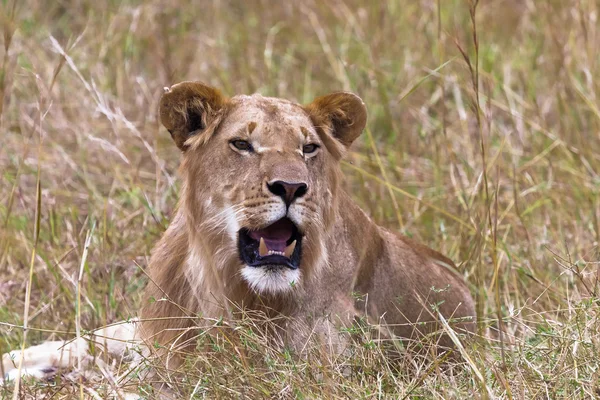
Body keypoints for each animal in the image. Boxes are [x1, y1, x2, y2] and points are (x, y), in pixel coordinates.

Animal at [2, 82, 476, 388]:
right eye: (242, 145)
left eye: (309, 148)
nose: (291, 187)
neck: (224, 282)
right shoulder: (161, 342)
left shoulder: (307, 373)